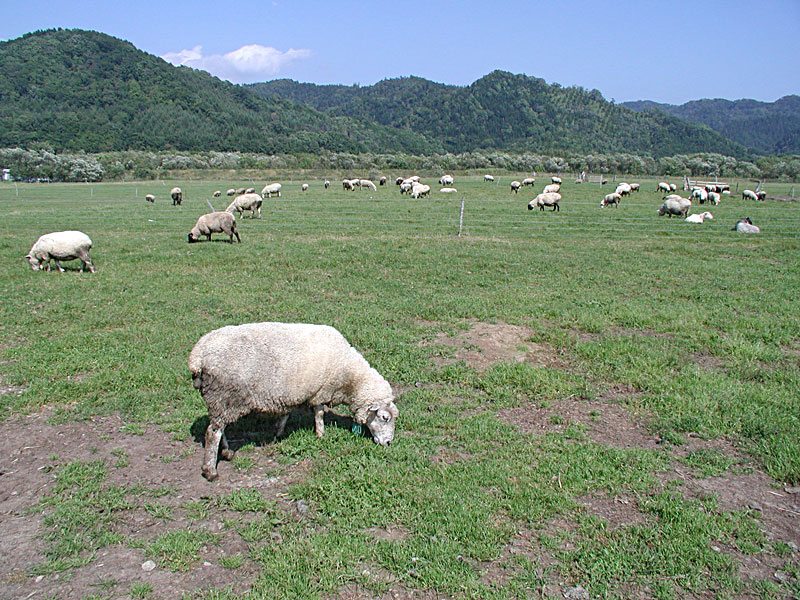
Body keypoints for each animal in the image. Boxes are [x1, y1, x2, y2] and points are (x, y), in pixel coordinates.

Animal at [188, 322, 400, 480]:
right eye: (384, 417)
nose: (389, 442)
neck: (348, 375)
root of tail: (197, 357)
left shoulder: (291, 393)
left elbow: (286, 414)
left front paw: (278, 432)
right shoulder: (319, 391)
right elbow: (319, 413)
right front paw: (320, 434)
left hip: (221, 401)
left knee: (218, 428)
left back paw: (226, 453)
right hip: (225, 395)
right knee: (212, 433)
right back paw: (210, 470)